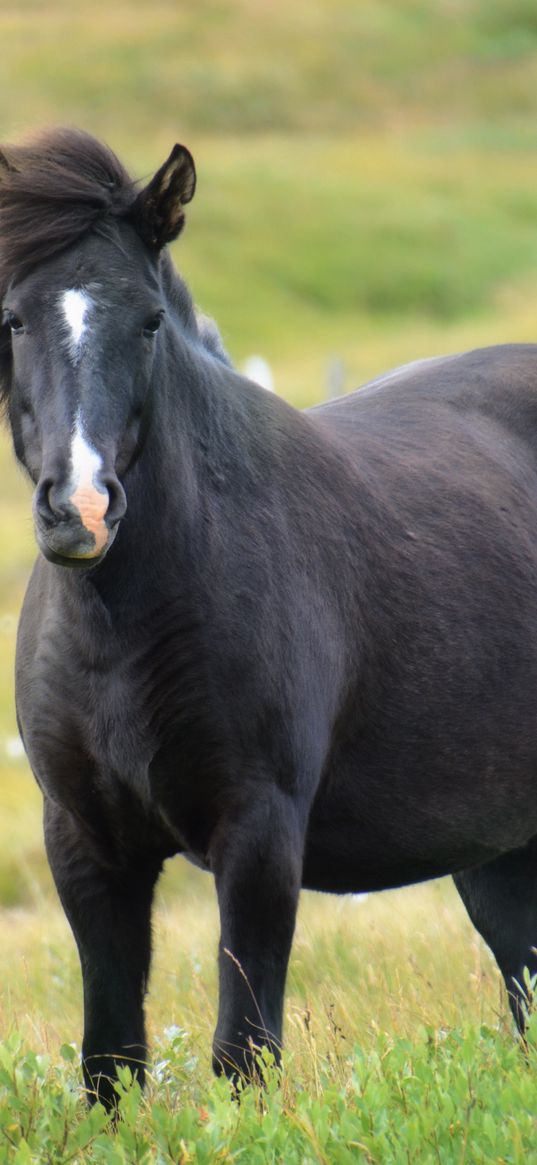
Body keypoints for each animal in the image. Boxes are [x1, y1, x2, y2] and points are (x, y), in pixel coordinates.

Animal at [1, 129, 535, 1109]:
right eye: (14, 318)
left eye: (148, 321)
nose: (80, 508)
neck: (124, 626)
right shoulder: (86, 846)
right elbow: (110, 1062)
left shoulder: (257, 837)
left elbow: (241, 1056)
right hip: (499, 850)